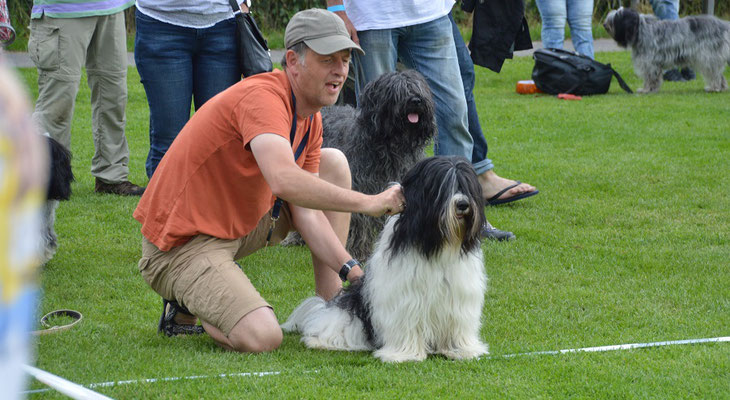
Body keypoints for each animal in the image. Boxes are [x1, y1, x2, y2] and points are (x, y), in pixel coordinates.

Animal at [282, 69, 436, 260]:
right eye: (396, 91)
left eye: (418, 87)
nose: (416, 100)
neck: (392, 146)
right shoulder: (362, 188)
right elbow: (359, 219)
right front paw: (358, 252)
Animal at [282, 156, 486, 362]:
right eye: (443, 188)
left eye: (466, 185)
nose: (463, 204)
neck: (437, 244)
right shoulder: (406, 297)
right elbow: (407, 324)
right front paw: (404, 354)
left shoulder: (459, 296)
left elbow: (458, 324)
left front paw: (462, 350)